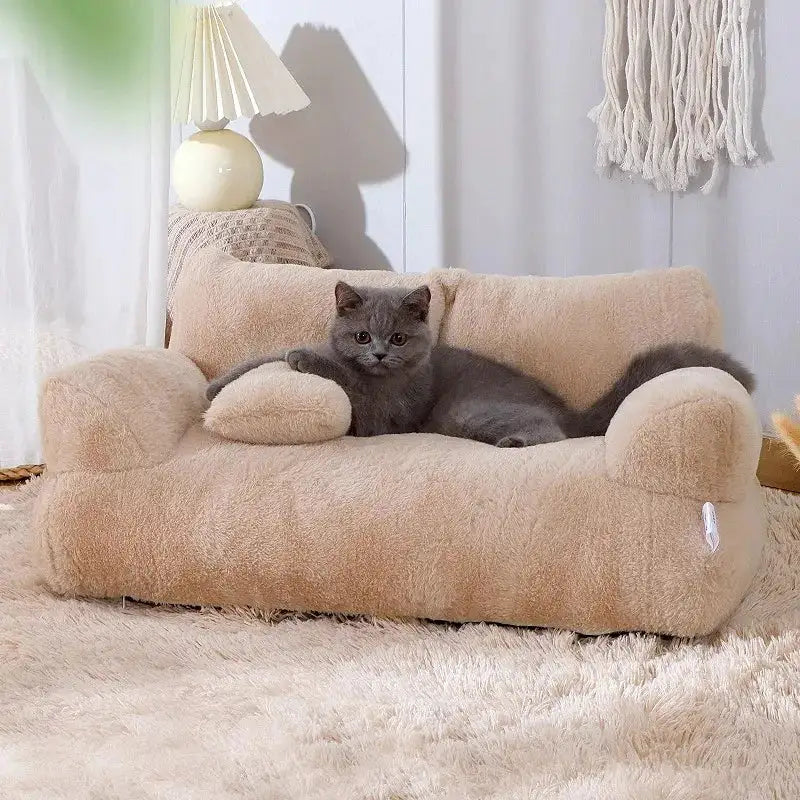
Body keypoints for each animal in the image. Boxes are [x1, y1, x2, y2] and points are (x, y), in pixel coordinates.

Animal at [206, 282, 756, 446]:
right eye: (362, 335)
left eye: (398, 338)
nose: (380, 352)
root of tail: (572, 409)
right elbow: (262, 356)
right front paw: (214, 388)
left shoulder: (384, 415)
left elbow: (350, 387)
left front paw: (304, 359)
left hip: (469, 409)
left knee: (553, 436)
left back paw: (512, 444)